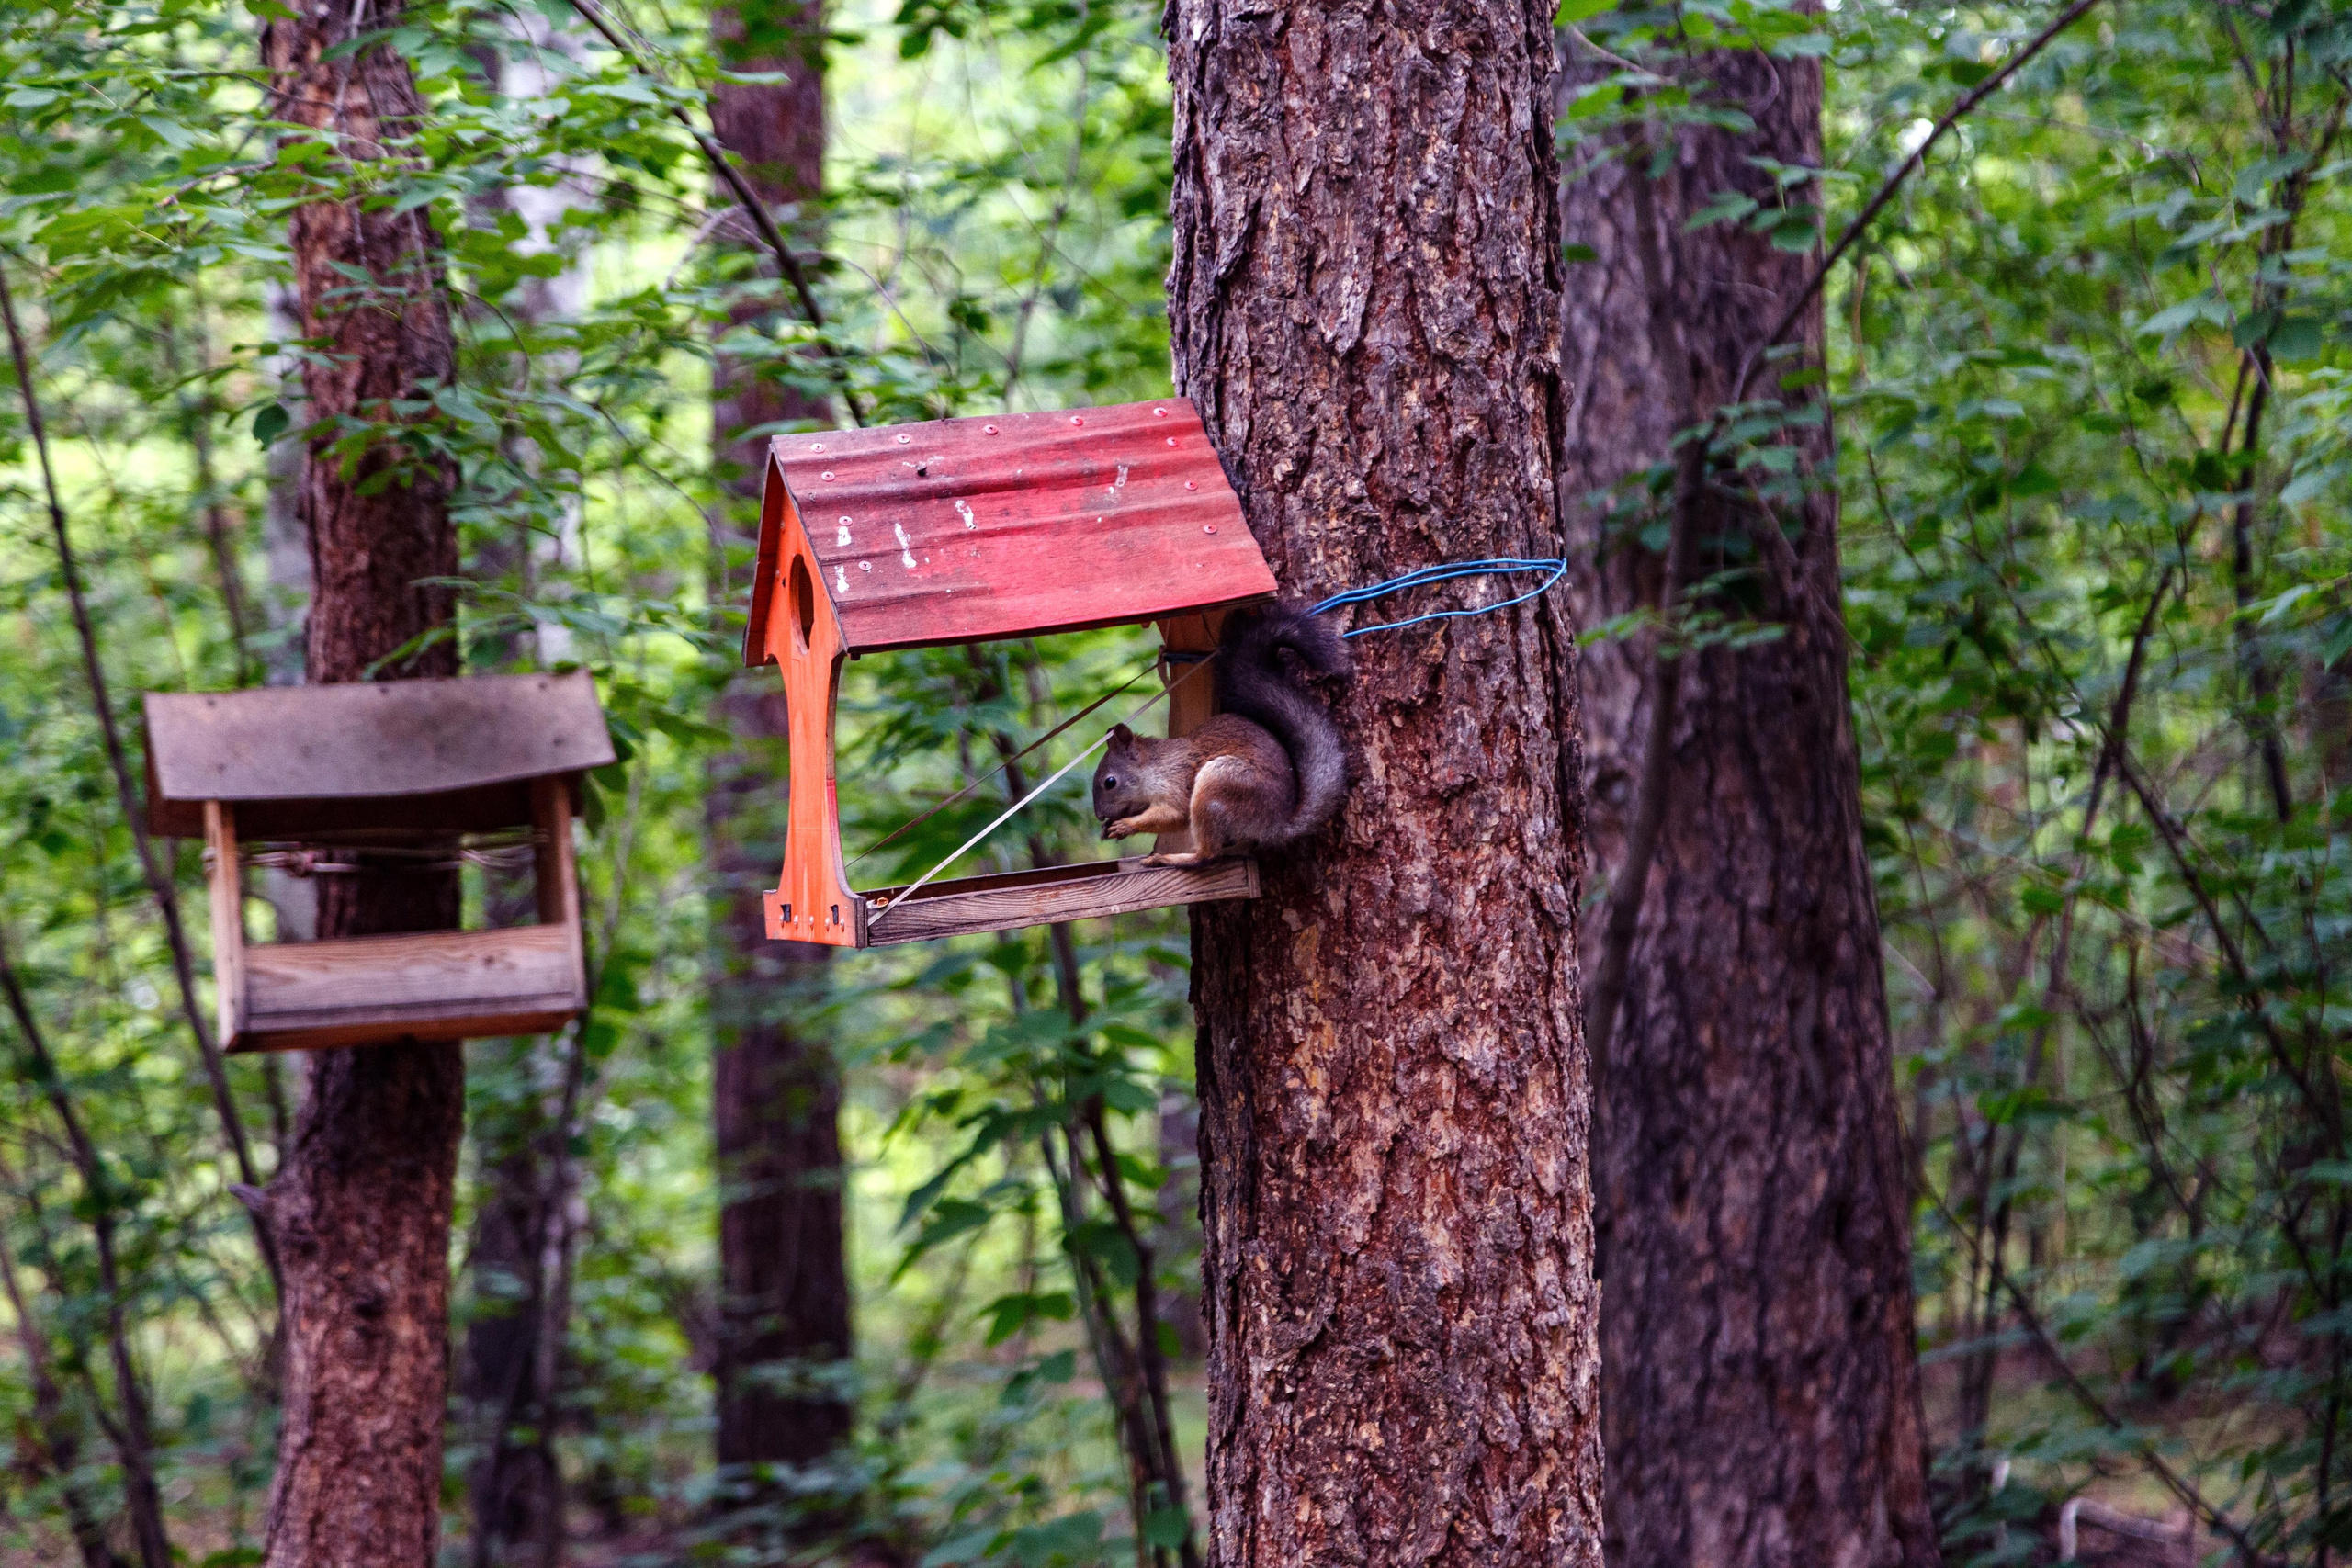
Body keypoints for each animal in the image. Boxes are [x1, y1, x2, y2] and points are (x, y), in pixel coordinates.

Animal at [1091, 604, 1350, 867]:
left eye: (1110, 782)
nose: (1100, 815)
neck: (1154, 766)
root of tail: (1276, 824)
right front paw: (1108, 828)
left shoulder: (1175, 783)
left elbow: (1175, 814)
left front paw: (1125, 826)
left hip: (1220, 785)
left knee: (1207, 855)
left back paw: (1169, 858)